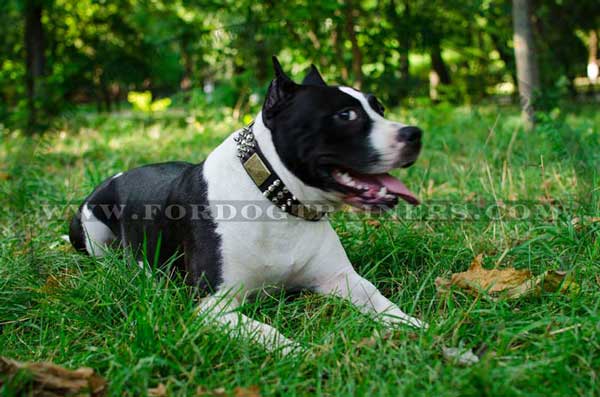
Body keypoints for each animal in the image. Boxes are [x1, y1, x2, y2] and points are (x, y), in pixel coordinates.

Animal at [69, 56, 426, 352]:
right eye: (345, 115)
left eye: (380, 108)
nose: (415, 133)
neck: (277, 200)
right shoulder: (213, 305)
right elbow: (268, 332)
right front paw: (300, 353)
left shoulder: (340, 278)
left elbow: (381, 302)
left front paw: (417, 328)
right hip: (91, 225)